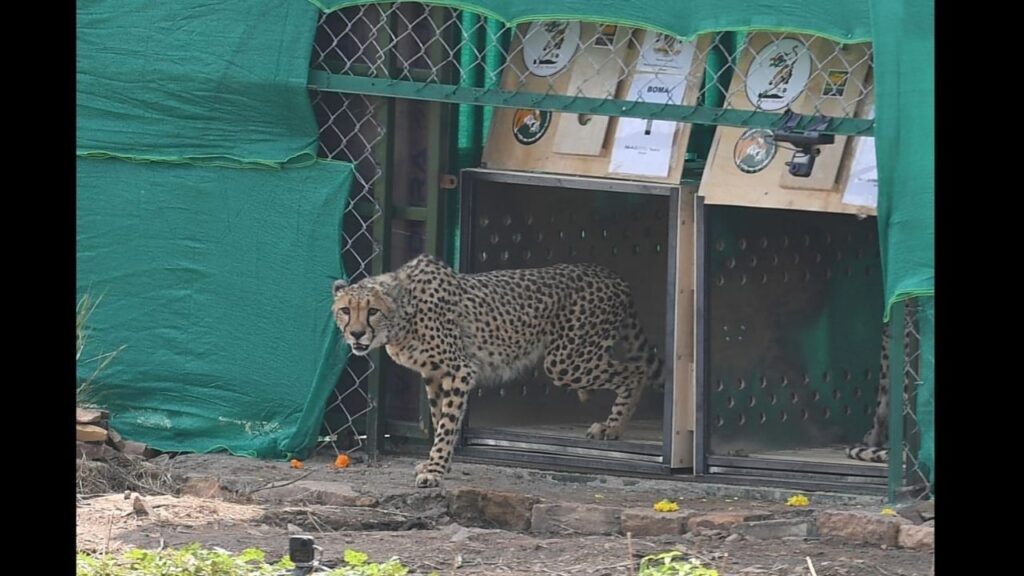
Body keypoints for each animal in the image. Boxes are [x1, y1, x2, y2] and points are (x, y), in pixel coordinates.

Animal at [331, 253, 663, 488]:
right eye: (345, 310)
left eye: (373, 311)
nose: (357, 334)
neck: (403, 315)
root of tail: (610, 274)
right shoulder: (435, 374)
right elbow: (440, 419)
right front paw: (438, 464)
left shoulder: (458, 370)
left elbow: (447, 423)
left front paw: (435, 470)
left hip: (566, 361)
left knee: (636, 371)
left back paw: (613, 427)